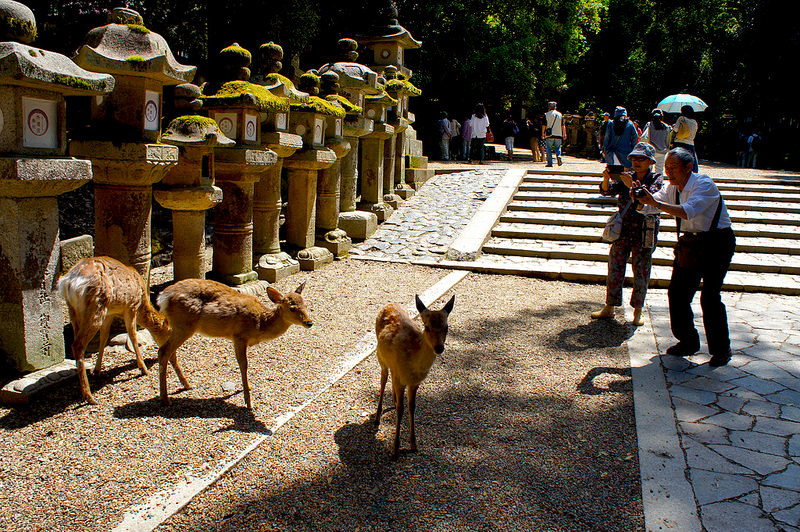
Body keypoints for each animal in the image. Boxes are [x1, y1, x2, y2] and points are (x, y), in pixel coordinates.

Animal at [59, 256, 172, 406]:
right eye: (169, 333)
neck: (142, 302)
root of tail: (69, 283)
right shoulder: (131, 306)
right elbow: (133, 335)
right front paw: (143, 368)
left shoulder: (110, 313)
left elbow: (104, 337)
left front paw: (98, 370)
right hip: (95, 307)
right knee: (77, 345)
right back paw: (89, 396)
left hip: (74, 311)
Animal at [153, 278, 312, 408]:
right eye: (292, 308)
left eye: (305, 304)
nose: (309, 322)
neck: (260, 323)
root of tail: (162, 297)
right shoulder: (239, 336)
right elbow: (243, 365)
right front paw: (248, 401)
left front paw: (246, 390)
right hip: (183, 325)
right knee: (163, 351)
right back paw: (165, 399)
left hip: (179, 327)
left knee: (170, 352)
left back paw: (186, 385)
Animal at [376, 294, 456, 460]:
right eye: (427, 327)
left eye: (446, 327)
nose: (439, 348)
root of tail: (389, 305)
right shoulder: (400, 379)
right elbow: (401, 409)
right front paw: (395, 450)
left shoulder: (414, 382)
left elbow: (411, 407)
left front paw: (414, 444)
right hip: (380, 357)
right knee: (383, 379)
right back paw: (377, 417)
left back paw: (393, 401)